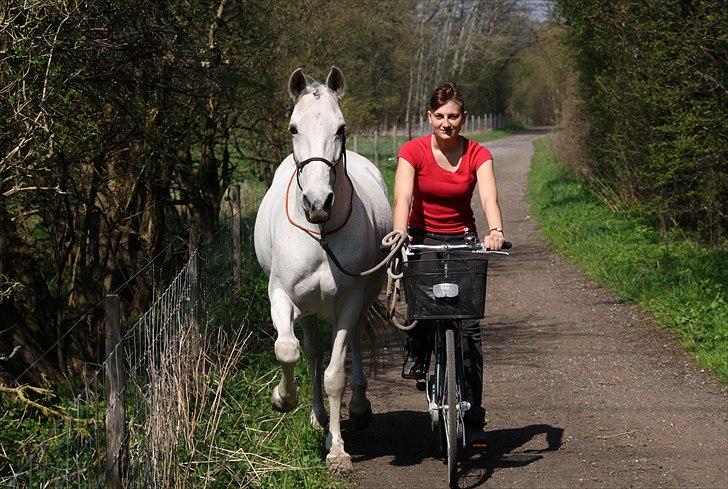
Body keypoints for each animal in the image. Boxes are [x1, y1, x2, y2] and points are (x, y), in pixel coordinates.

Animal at [256, 66, 392, 470]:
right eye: (293, 128)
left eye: (340, 127)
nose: (318, 202)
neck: (320, 233)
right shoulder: (282, 295)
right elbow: (288, 350)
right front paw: (282, 398)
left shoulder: (349, 301)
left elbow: (335, 375)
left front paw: (338, 450)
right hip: (309, 309)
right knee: (313, 351)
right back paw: (317, 416)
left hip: (361, 300)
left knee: (353, 342)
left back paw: (358, 410)